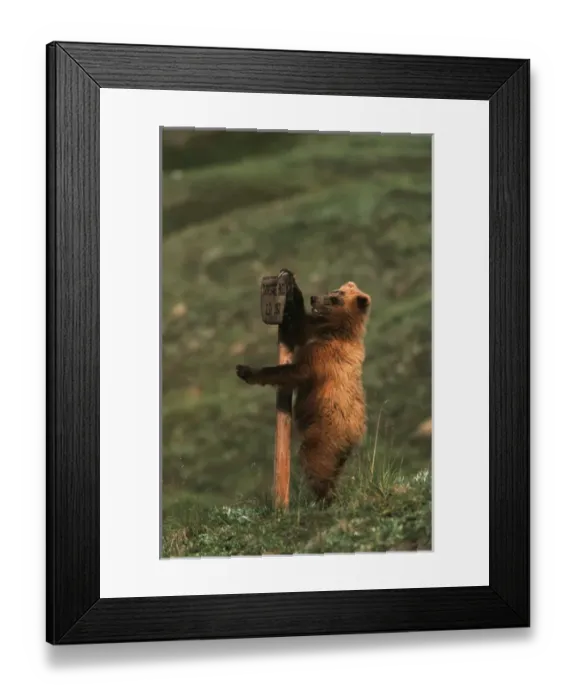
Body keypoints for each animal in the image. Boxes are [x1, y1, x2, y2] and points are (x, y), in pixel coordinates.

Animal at [236, 273, 371, 505]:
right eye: (334, 290)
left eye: (335, 298)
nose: (314, 298)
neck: (337, 332)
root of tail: (354, 434)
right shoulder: (318, 336)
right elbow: (301, 329)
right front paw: (290, 284)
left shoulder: (323, 358)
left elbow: (295, 371)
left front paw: (246, 370)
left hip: (325, 433)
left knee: (316, 460)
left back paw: (323, 496)